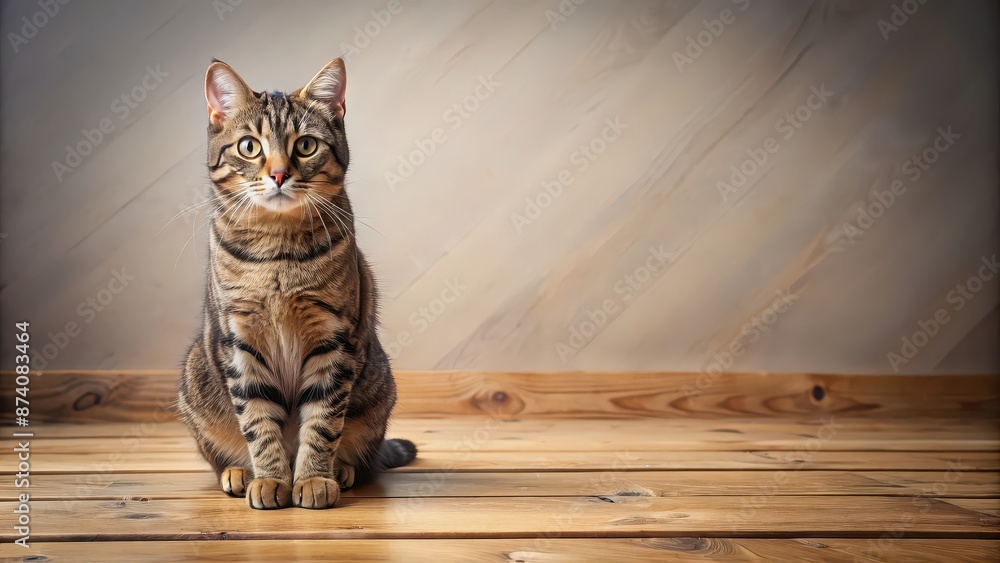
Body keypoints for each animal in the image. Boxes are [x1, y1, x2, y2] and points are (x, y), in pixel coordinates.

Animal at [178, 58, 416, 512]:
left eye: (305, 145)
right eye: (249, 147)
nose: (278, 174)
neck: (278, 253)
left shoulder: (334, 339)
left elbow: (322, 421)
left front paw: (313, 479)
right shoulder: (239, 339)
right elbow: (257, 420)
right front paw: (271, 478)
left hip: (379, 387)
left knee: (366, 454)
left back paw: (342, 470)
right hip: (196, 378)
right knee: (220, 451)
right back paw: (240, 473)